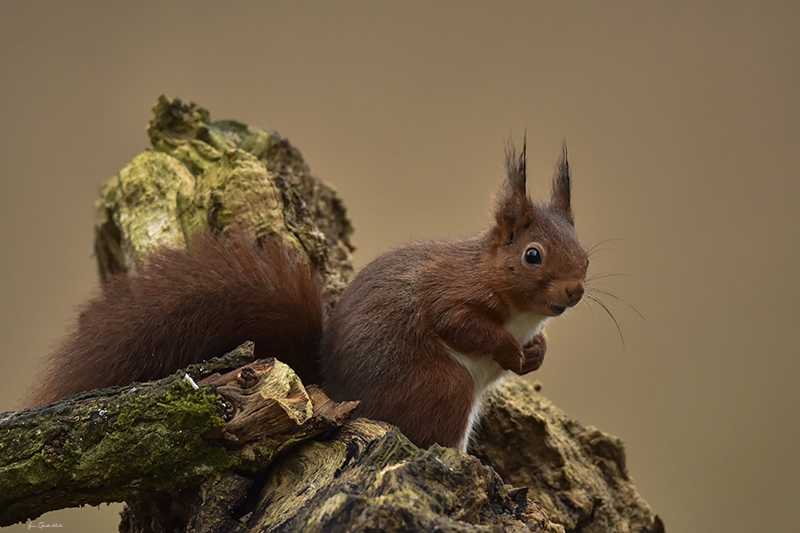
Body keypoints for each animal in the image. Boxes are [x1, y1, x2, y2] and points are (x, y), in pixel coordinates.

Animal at [26, 143, 588, 450]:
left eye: (584, 252)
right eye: (533, 256)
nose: (576, 291)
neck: (520, 310)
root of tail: (336, 390)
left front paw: (536, 354)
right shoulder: (448, 292)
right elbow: (458, 322)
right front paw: (512, 351)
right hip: (442, 386)